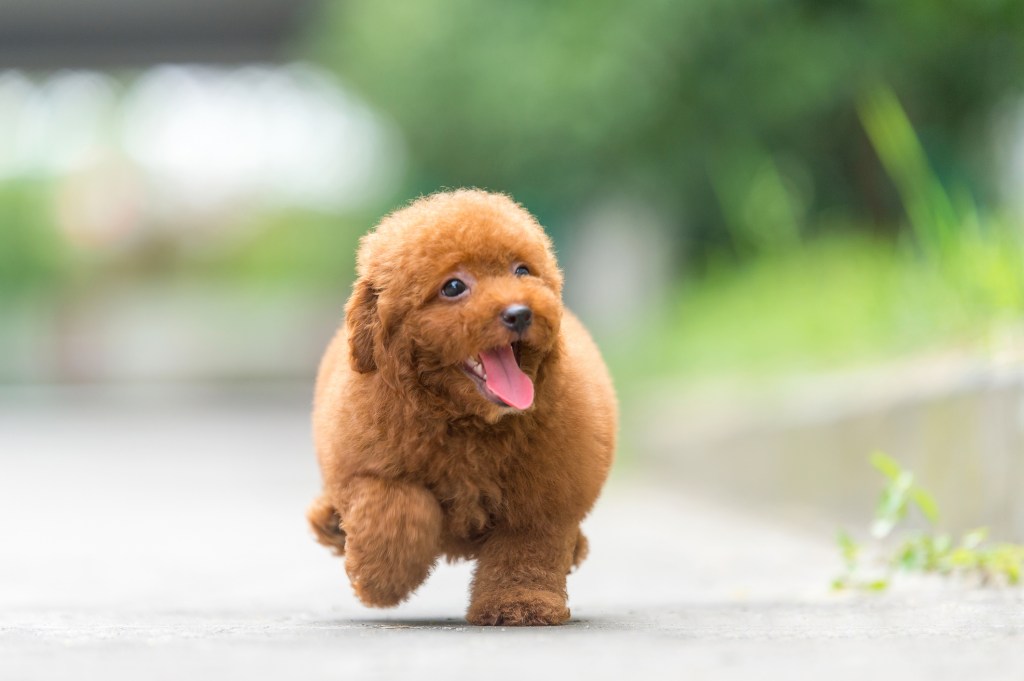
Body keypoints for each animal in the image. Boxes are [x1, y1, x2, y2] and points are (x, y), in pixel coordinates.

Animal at [307, 188, 614, 622]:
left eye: (522, 271)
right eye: (453, 287)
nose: (520, 313)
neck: (468, 422)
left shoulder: (542, 498)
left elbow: (526, 550)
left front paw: (520, 604)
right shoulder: (366, 469)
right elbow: (399, 511)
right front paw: (381, 581)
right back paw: (332, 525)